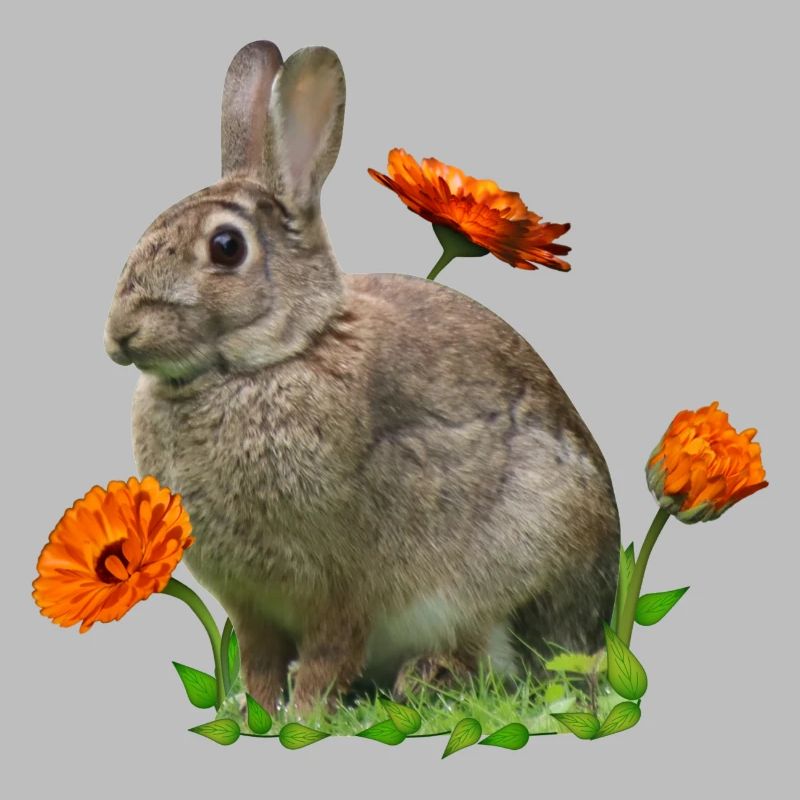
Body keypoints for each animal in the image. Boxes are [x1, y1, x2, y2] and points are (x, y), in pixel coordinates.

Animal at [104, 40, 620, 712]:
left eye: (226, 247)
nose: (120, 334)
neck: (273, 358)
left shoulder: (339, 588)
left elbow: (328, 656)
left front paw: (303, 717)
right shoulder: (252, 606)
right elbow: (261, 662)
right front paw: (255, 713)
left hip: (527, 553)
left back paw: (428, 678)